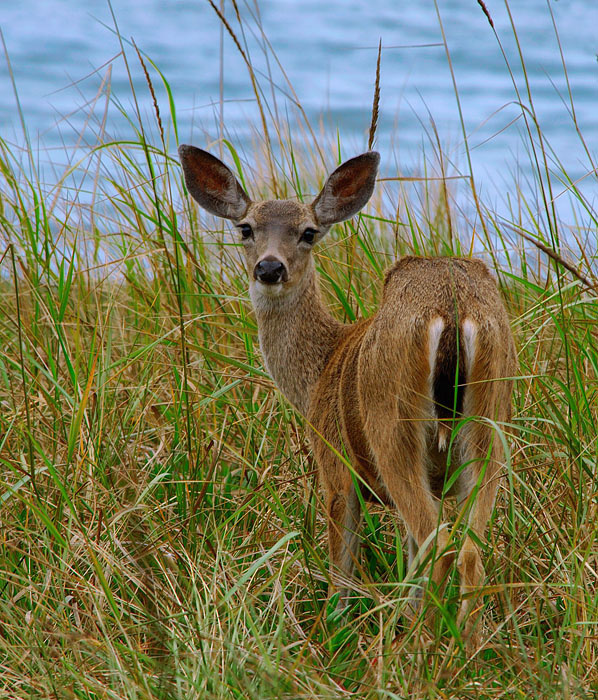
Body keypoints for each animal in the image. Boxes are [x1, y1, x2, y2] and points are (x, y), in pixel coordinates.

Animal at [178, 144, 517, 647]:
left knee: (437, 543)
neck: (320, 370)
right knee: (469, 549)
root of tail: (452, 309)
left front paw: (331, 631)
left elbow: (342, 568)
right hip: (489, 426)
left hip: (392, 429)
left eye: (308, 232)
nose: (270, 268)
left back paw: (418, 652)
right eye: (246, 228)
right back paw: (464, 648)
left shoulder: (334, 463)